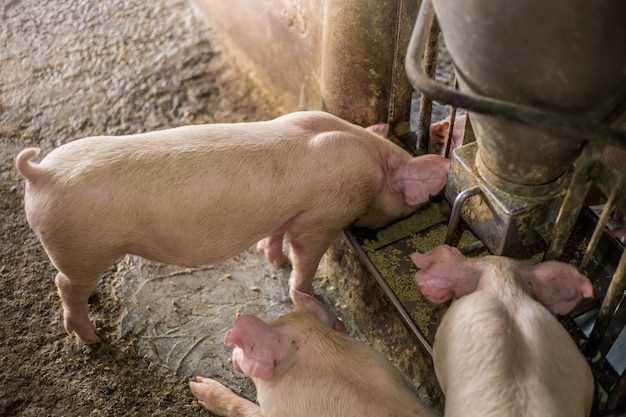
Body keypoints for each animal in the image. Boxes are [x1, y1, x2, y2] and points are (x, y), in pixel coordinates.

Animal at [14, 110, 448, 342]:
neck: (368, 158)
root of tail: (43, 174)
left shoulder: (289, 211)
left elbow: (276, 233)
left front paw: (273, 260)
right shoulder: (321, 217)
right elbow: (304, 259)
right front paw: (331, 320)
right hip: (83, 247)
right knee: (63, 284)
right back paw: (91, 339)